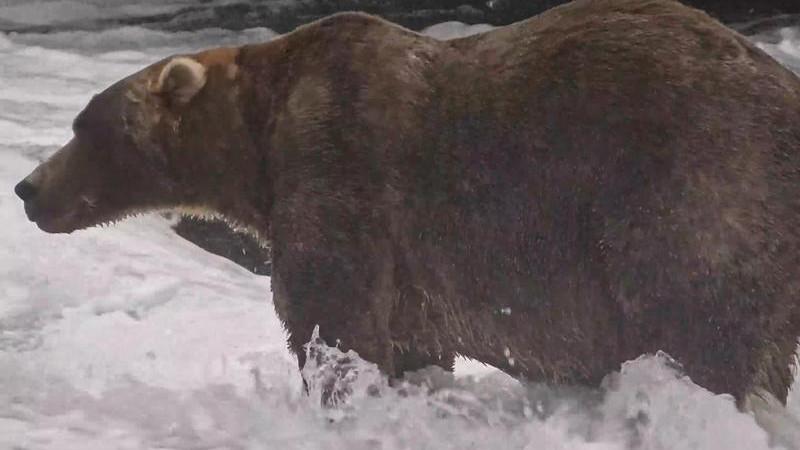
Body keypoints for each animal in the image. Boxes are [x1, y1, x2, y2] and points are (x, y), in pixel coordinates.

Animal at [14, 0, 800, 411]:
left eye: (85, 125)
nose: (27, 189)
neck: (257, 141)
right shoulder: (414, 265)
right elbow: (411, 338)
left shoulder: (341, 167)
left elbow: (333, 315)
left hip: (690, 182)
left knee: (701, 320)